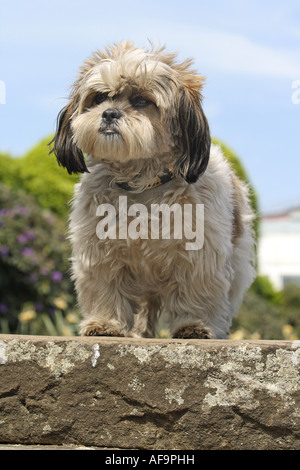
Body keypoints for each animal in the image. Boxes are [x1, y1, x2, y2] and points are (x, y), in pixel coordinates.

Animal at [51, 41, 255, 338]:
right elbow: (104, 288)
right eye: (98, 98)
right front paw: (105, 323)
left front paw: (193, 325)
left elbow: (197, 291)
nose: (109, 113)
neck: (142, 181)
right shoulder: (98, 249)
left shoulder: (201, 254)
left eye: (141, 101)